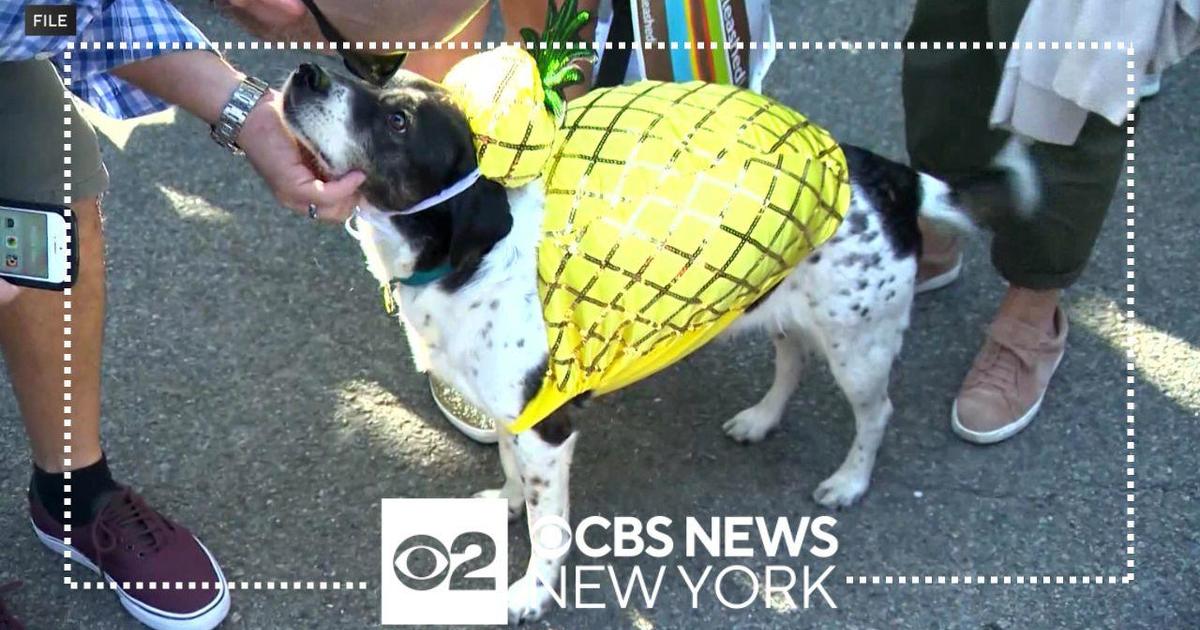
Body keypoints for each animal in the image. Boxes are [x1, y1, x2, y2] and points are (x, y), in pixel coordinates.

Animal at [278, 61, 1032, 619]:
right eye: (373, 76)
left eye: (398, 120)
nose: (307, 72)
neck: (467, 258)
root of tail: (890, 174)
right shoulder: (512, 415)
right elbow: (512, 473)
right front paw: (506, 504)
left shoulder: (548, 427)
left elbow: (549, 526)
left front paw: (530, 593)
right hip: (783, 305)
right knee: (791, 361)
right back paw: (761, 420)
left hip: (860, 346)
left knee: (877, 414)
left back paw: (849, 481)